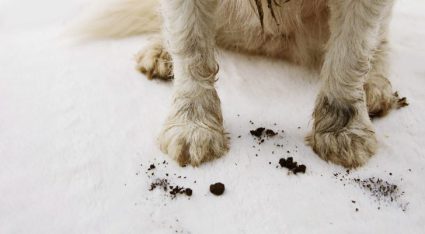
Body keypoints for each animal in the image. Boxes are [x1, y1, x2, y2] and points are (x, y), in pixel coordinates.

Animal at [83, 0, 408, 168]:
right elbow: (190, 45)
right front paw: (192, 127)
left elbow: (350, 52)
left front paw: (343, 131)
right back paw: (161, 51)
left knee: (379, 40)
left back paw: (374, 86)